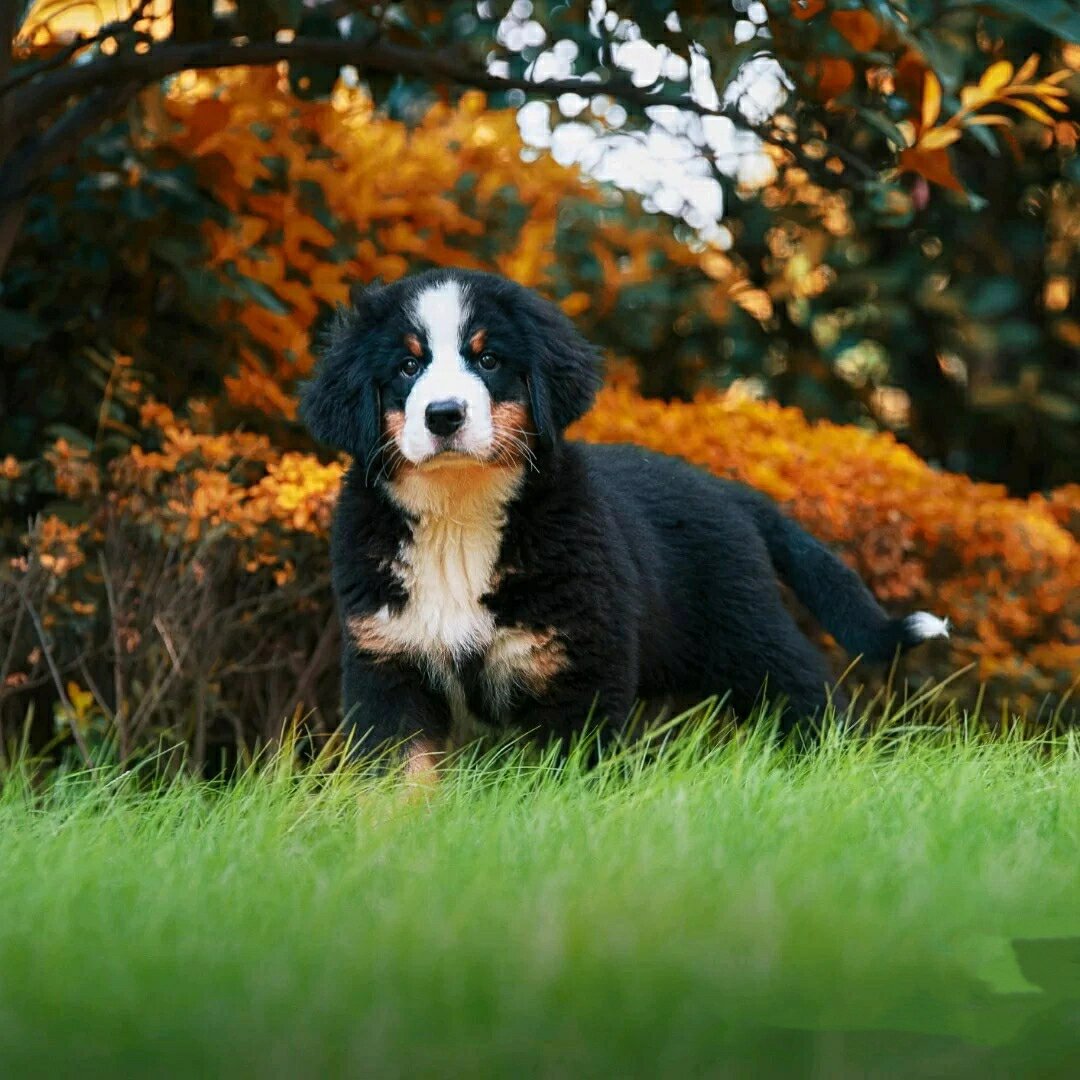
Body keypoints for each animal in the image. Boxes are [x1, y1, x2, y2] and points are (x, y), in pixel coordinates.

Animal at [300, 274, 950, 773]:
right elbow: (398, 780)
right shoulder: (389, 665)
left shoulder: (580, 666)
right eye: (407, 366)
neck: (459, 517)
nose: (443, 415)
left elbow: (563, 775)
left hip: (747, 633)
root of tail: (729, 490)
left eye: (488, 360)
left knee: (808, 693)